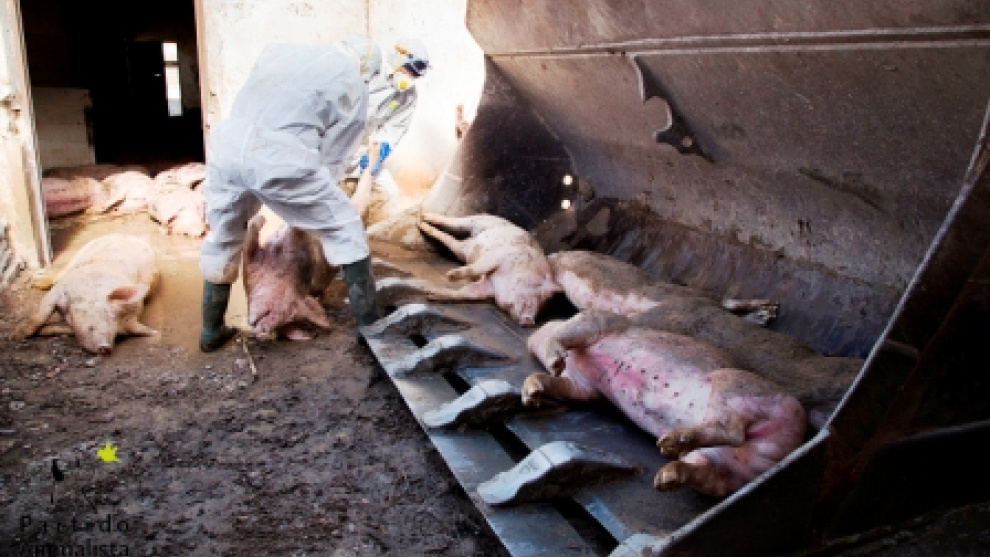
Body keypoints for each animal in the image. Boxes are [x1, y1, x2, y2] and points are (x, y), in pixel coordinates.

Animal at [13, 234, 159, 355]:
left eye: (118, 334)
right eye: (109, 316)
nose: (106, 348)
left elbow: (60, 328)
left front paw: (41, 331)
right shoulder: (60, 289)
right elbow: (40, 315)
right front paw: (14, 336)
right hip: (82, 251)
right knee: (60, 274)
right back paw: (36, 283)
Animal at [381, 213, 562, 326]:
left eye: (542, 307)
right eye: (539, 296)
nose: (529, 322)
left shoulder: (486, 288)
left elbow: (465, 293)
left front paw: (431, 295)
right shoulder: (498, 257)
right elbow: (476, 269)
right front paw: (450, 276)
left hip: (464, 246)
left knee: (452, 240)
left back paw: (422, 223)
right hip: (480, 221)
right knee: (455, 224)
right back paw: (422, 219)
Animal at [522, 309, 807, 497]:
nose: (531, 331)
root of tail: (796, 436)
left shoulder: (600, 322)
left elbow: (567, 334)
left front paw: (554, 362)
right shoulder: (586, 387)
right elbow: (560, 385)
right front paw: (530, 395)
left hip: (732, 386)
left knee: (731, 431)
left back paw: (668, 445)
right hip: (730, 464)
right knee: (712, 478)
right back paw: (666, 477)